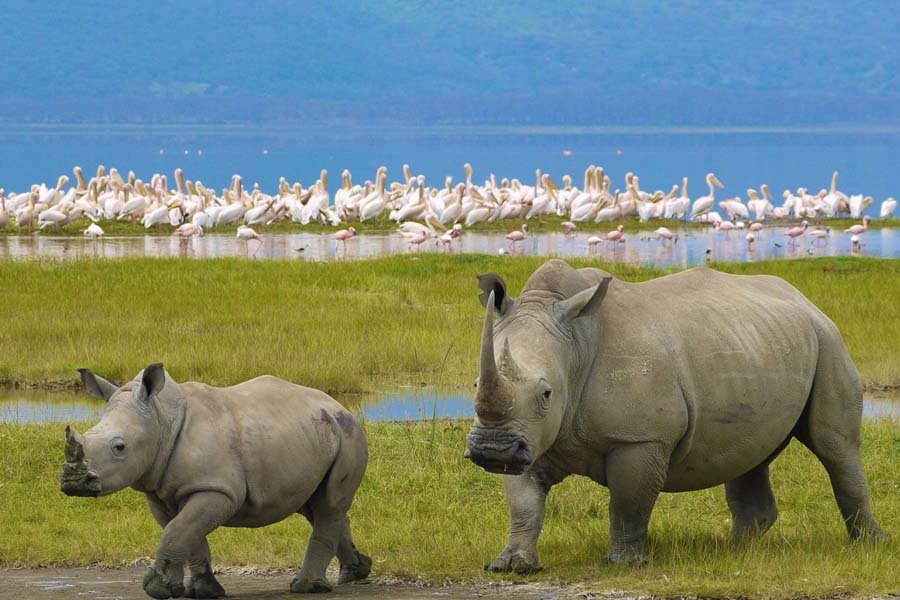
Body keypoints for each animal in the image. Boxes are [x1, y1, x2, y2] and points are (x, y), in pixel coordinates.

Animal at [60, 364, 370, 598]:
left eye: (119, 447)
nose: (73, 482)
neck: (160, 420)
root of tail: (338, 405)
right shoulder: (162, 493)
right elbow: (186, 532)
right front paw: (200, 591)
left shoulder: (217, 489)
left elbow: (177, 531)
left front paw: (157, 589)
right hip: (316, 434)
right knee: (316, 506)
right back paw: (356, 572)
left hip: (349, 434)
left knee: (328, 504)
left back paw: (306, 587)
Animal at [465, 259, 885, 573]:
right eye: (474, 384)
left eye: (546, 393)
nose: (492, 450)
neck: (576, 345)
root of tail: (804, 299)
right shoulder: (530, 436)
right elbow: (523, 501)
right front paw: (512, 565)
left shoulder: (640, 438)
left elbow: (628, 503)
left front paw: (623, 563)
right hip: (758, 342)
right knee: (751, 452)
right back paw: (735, 548)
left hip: (828, 341)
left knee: (835, 447)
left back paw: (869, 544)